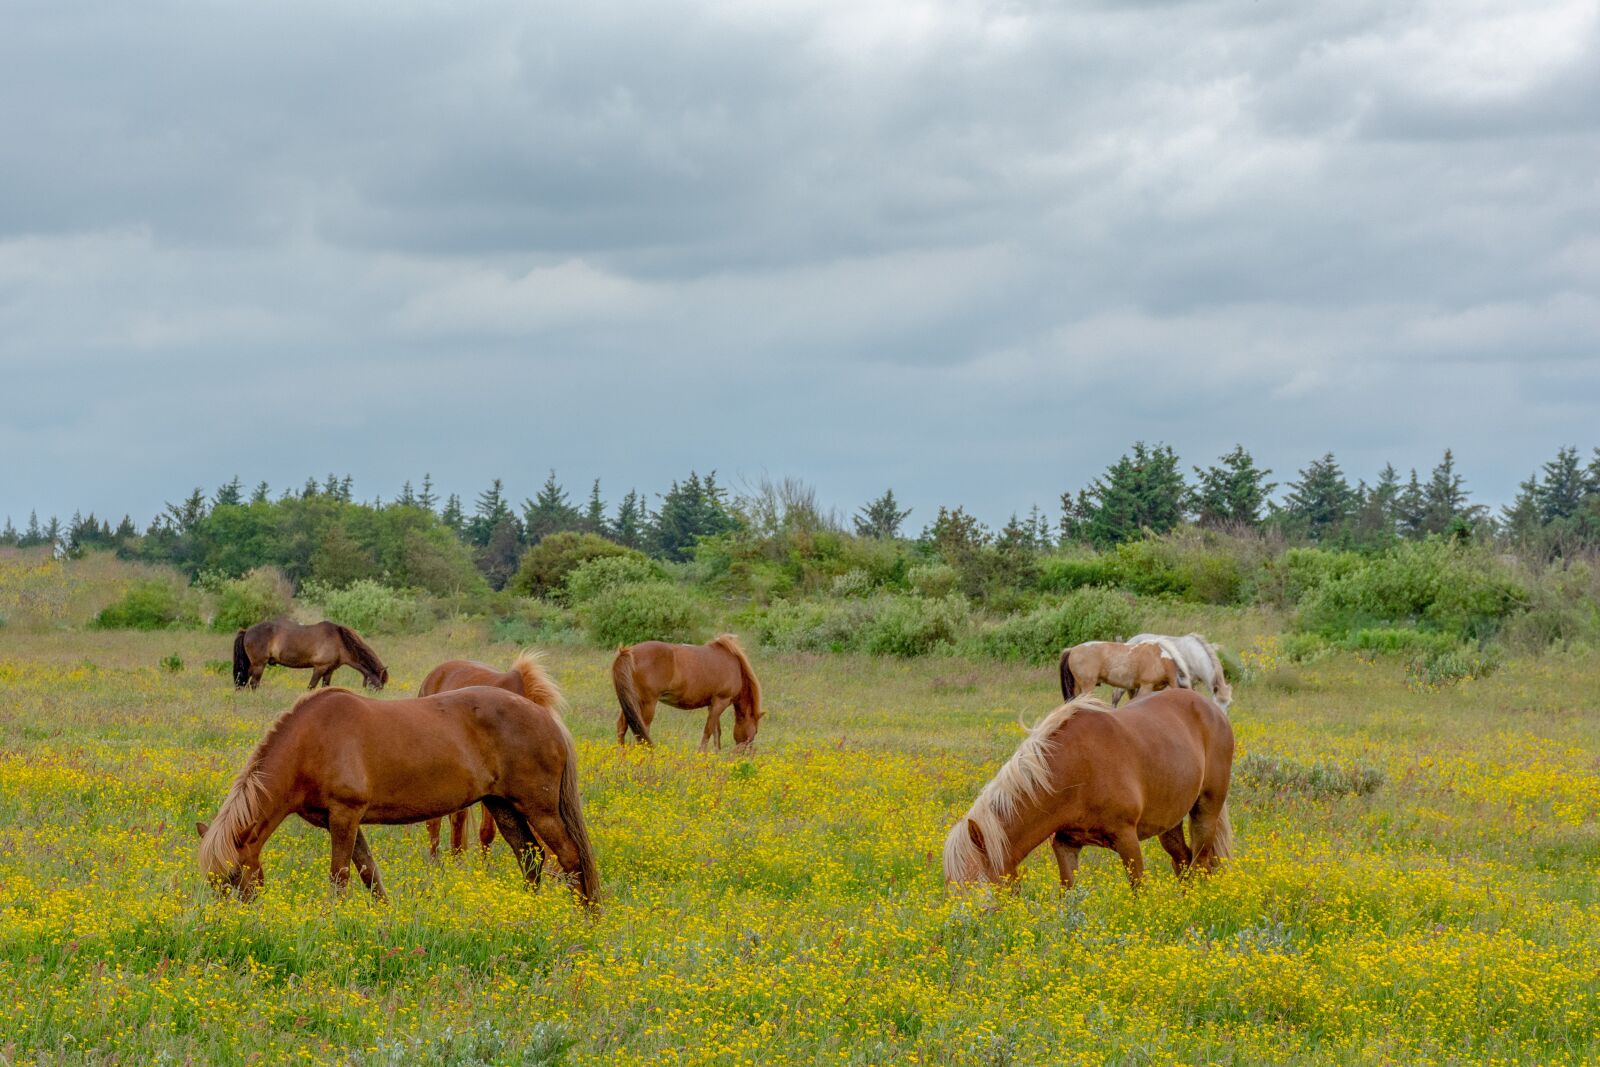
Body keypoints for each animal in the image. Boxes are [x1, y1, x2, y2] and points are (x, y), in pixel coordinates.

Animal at [196, 682, 598, 903]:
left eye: (234, 876)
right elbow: (369, 873)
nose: (227, 926)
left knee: (570, 857)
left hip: (539, 809)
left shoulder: (345, 814)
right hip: (503, 807)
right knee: (531, 860)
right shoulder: (339, 820)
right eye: (211, 882)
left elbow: (340, 875)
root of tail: (548, 720)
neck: (312, 742)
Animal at [233, 619, 388, 690]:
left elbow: (325, 687)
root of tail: (247, 630)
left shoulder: (329, 671)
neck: (339, 642)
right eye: (377, 687)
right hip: (259, 665)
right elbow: (311, 687)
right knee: (253, 684)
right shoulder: (319, 668)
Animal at [610, 634, 762, 751]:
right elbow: (708, 732)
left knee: (622, 727)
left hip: (630, 701)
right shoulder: (720, 702)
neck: (735, 666)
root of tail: (627, 652)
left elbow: (716, 733)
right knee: (643, 732)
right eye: (755, 732)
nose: (745, 754)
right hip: (647, 704)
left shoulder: (713, 705)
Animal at [943, 689, 1233, 890]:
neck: (1077, 768)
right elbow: (1069, 892)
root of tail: (1212, 708)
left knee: (1200, 861)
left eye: (981, 884)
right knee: (1183, 860)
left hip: (1206, 809)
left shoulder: (1127, 839)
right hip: (1170, 821)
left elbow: (1138, 889)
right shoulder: (1066, 843)